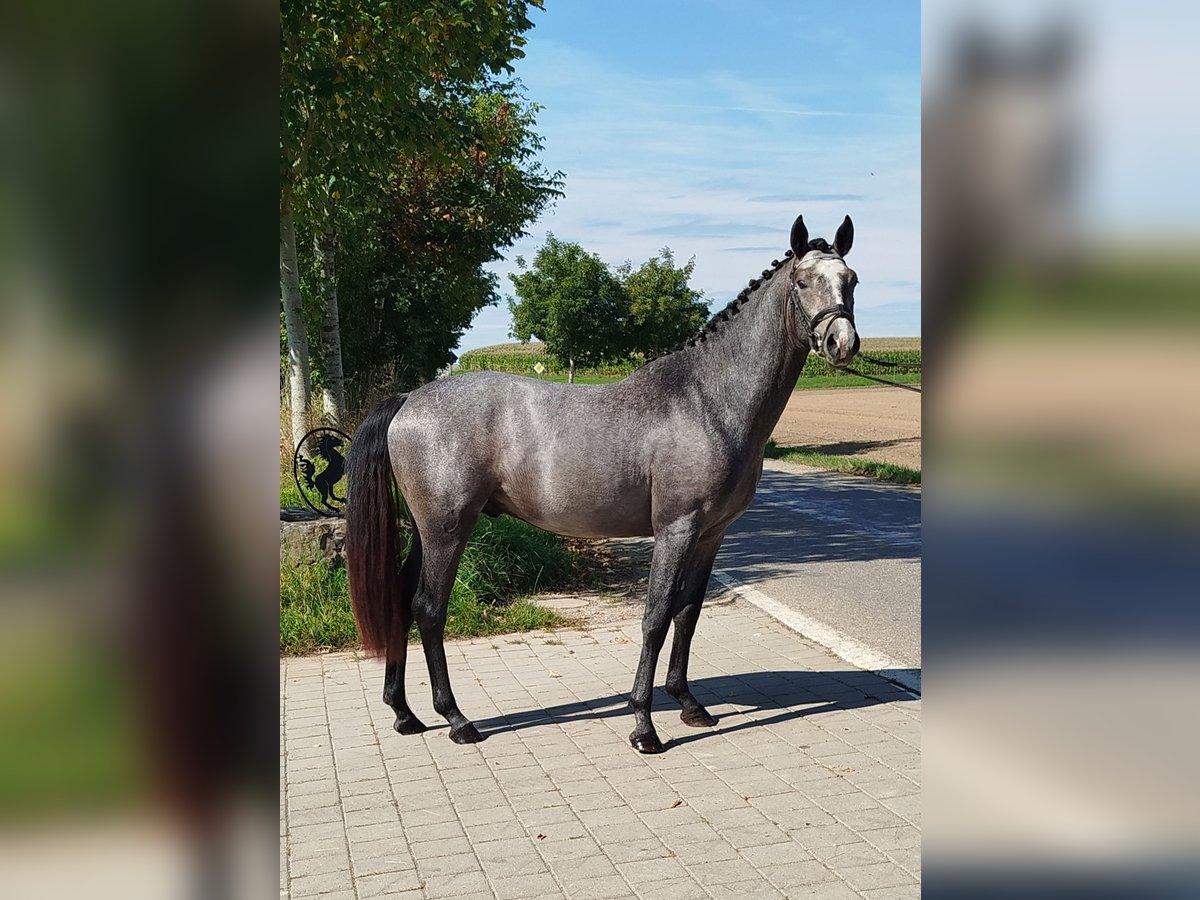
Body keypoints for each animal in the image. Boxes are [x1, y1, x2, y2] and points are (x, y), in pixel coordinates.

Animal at [346, 214, 861, 753]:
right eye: (801, 282)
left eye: (851, 280)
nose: (841, 343)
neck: (708, 400)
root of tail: (408, 400)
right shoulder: (675, 530)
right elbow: (656, 616)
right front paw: (644, 727)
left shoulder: (711, 535)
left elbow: (688, 613)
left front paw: (689, 705)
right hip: (447, 530)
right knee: (428, 609)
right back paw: (456, 719)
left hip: (427, 533)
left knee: (402, 601)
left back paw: (404, 713)